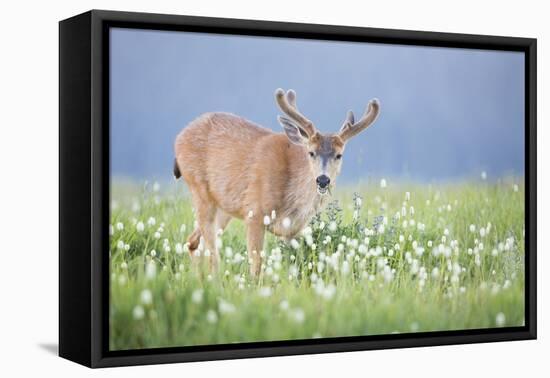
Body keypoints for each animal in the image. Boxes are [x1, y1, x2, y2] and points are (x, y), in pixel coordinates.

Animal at [175, 88, 382, 278]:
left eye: (339, 155)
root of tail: (179, 137)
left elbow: (292, 263)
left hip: (224, 207)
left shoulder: (293, 230)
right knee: (210, 252)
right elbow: (256, 266)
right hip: (199, 189)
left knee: (194, 243)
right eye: (311, 152)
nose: (323, 180)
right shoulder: (254, 213)